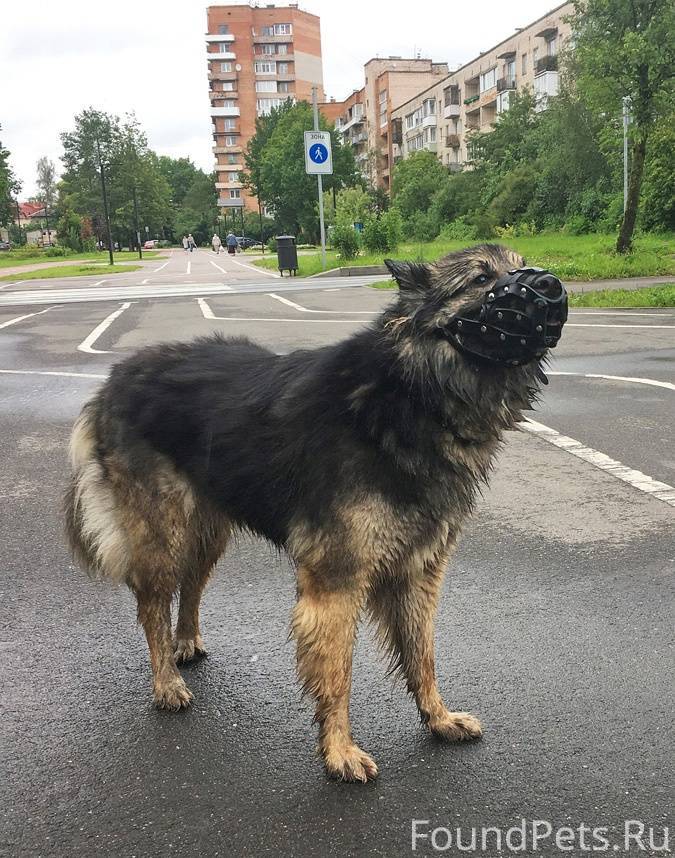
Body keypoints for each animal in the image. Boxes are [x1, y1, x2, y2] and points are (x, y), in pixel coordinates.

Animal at [65, 244, 567, 782]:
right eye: (480, 279)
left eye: (518, 264)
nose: (551, 285)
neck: (410, 395)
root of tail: (115, 378)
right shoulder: (337, 581)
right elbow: (336, 673)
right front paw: (339, 751)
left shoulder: (418, 571)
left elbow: (423, 655)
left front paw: (438, 718)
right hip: (164, 533)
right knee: (152, 603)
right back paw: (166, 682)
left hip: (207, 533)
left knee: (191, 585)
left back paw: (187, 643)